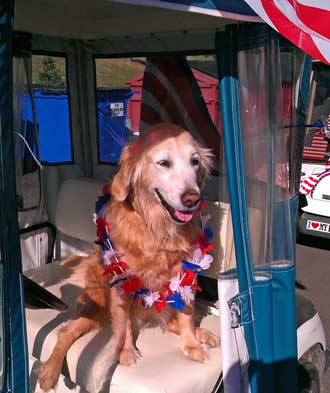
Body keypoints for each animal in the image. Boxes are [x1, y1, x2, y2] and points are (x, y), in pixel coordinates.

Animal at [38, 121, 218, 388]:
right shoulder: (121, 280)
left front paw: (192, 343)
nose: (192, 198)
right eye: (164, 163)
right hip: (95, 305)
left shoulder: (185, 271)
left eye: (194, 162)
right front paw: (125, 350)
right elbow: (123, 321)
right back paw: (49, 371)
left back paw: (202, 333)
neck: (157, 229)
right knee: (66, 332)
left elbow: (186, 312)